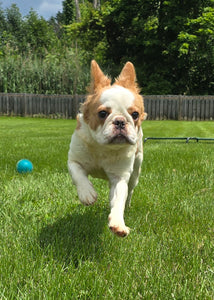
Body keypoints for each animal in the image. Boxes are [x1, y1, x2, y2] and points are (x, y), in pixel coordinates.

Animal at [67, 59, 146, 236]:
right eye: (102, 114)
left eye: (135, 115)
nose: (120, 121)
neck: (103, 147)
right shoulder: (74, 160)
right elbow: (78, 174)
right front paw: (87, 193)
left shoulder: (119, 177)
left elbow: (119, 199)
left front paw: (118, 223)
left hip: (136, 171)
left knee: (129, 191)